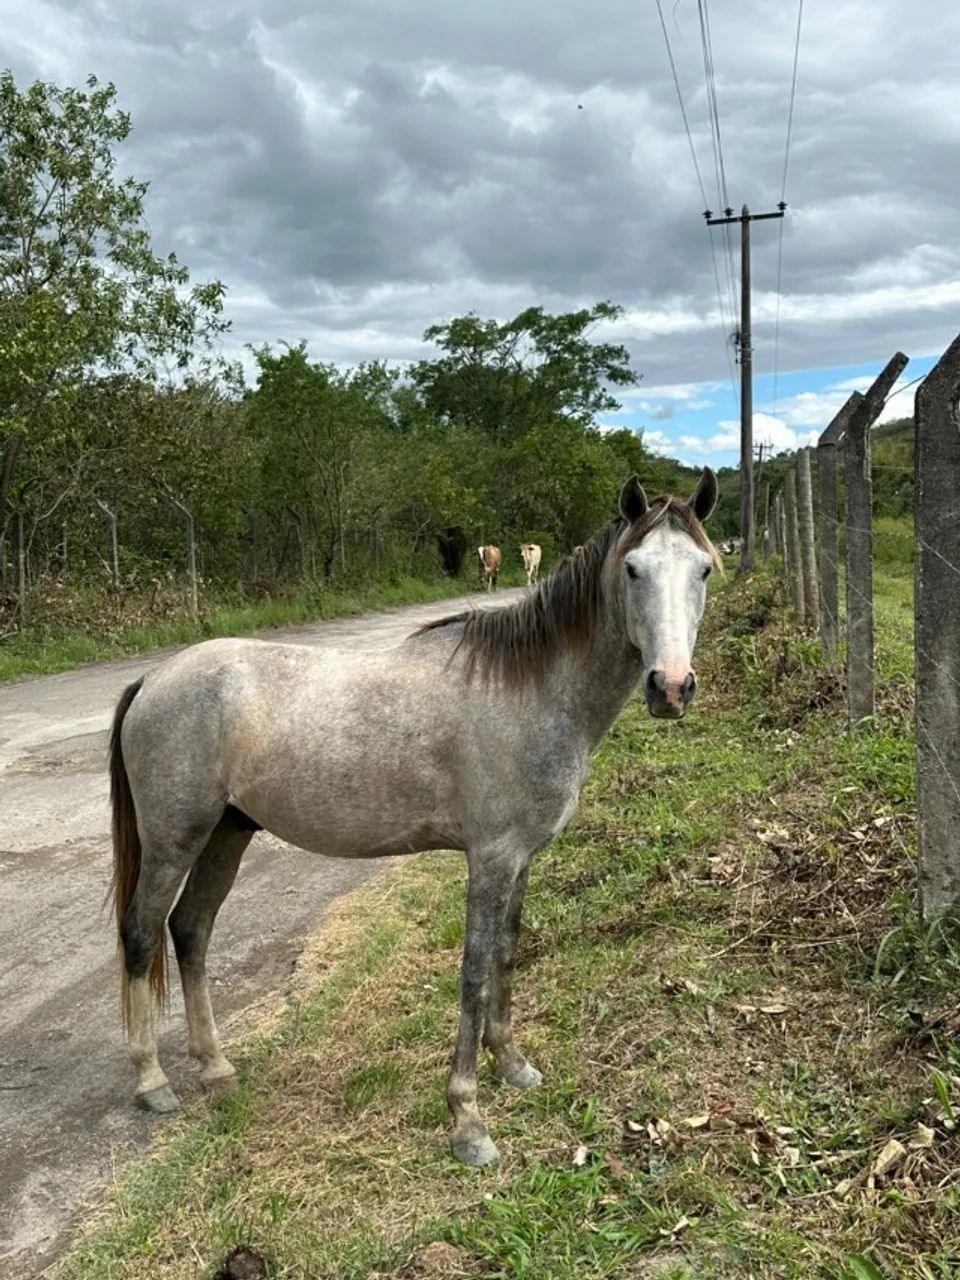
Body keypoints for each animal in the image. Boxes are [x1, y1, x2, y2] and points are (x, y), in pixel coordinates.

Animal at [108, 470, 719, 1167]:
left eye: (702, 569)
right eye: (634, 569)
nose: (670, 687)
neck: (529, 688)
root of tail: (155, 678)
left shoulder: (521, 860)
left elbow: (506, 955)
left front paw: (513, 1066)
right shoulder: (491, 859)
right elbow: (474, 973)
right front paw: (468, 1122)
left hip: (225, 835)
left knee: (191, 931)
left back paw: (216, 1068)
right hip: (173, 840)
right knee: (142, 934)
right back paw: (153, 1082)